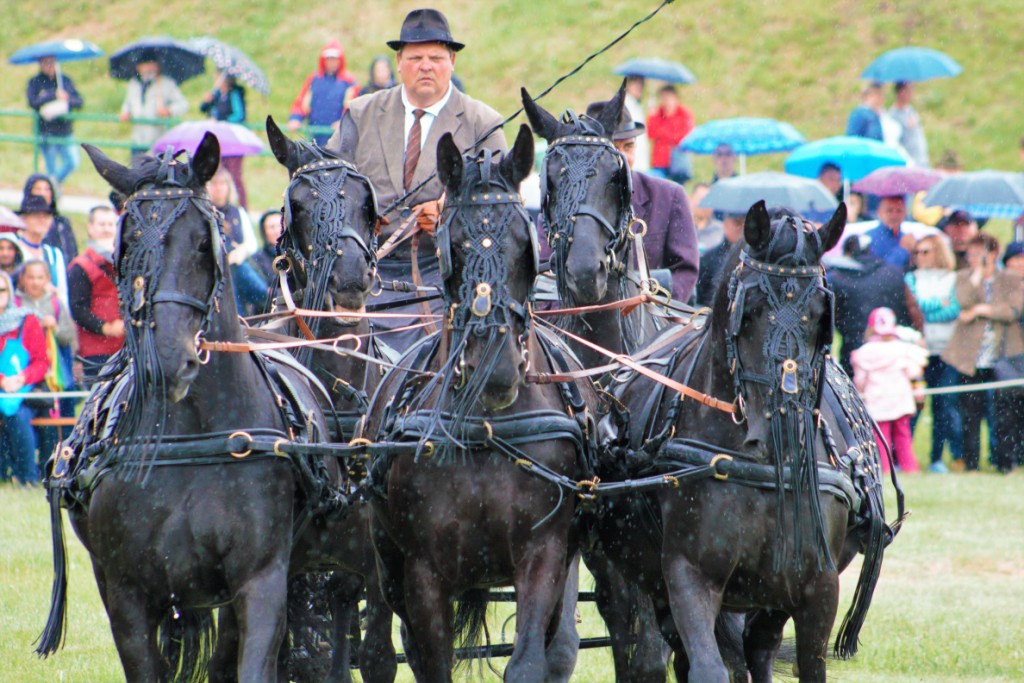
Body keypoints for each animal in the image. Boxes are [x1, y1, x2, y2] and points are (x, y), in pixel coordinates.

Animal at [36, 133, 336, 682]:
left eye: (202, 243)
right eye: (126, 247)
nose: (167, 361)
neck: (191, 437)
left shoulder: (261, 581)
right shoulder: (127, 595)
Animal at [362, 125, 600, 682]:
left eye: (524, 245)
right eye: (454, 244)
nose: (496, 369)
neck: (490, 429)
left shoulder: (544, 552)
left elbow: (529, 661)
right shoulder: (424, 572)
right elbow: (433, 660)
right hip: (390, 563)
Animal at [596, 201, 892, 682]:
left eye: (820, 312)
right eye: (748, 309)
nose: (774, 423)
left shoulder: (817, 584)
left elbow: (808, 665)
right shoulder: (688, 573)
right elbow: (705, 666)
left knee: (758, 645)